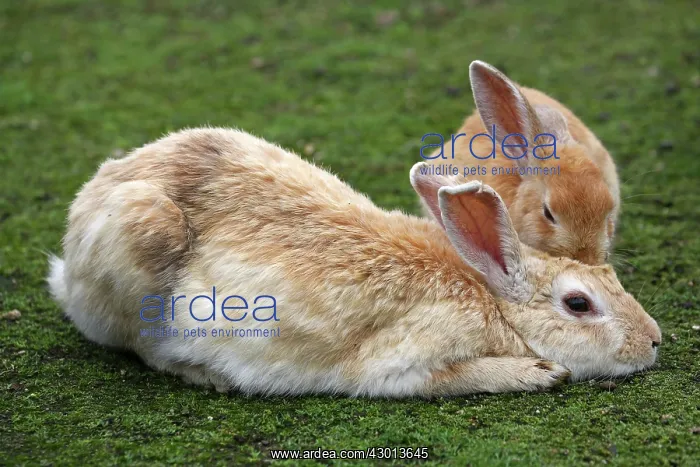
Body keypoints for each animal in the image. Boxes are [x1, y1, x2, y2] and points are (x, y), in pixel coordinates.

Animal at [47, 128, 660, 398]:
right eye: (578, 304)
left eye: (611, 277)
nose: (654, 341)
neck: (493, 299)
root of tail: (67, 263)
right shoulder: (407, 361)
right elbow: (448, 376)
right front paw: (539, 372)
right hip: (140, 240)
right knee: (146, 349)